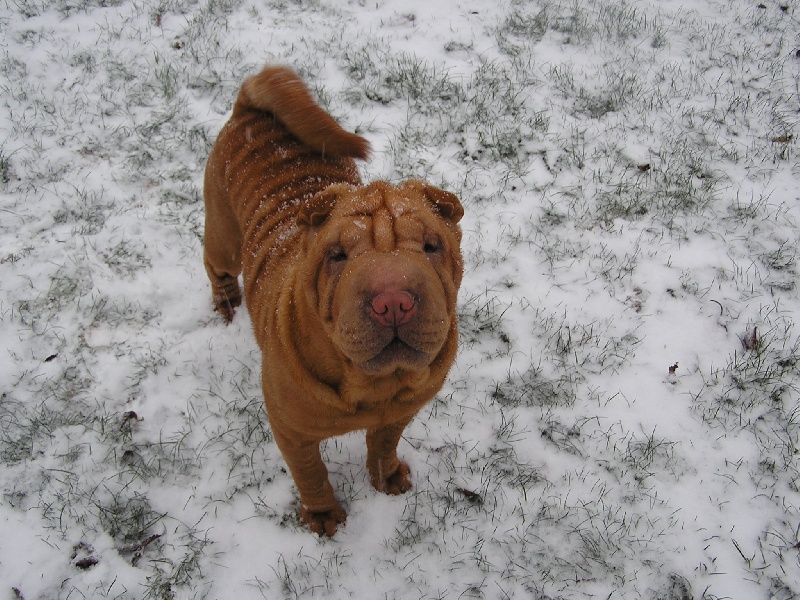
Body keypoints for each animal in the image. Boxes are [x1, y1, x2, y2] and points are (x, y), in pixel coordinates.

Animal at [203, 65, 466, 536]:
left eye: (432, 246)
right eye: (337, 255)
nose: (393, 300)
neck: (373, 387)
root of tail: (250, 107)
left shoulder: (402, 410)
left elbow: (383, 443)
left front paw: (387, 477)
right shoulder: (291, 429)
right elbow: (311, 472)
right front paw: (324, 517)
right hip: (222, 234)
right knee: (214, 262)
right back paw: (227, 301)